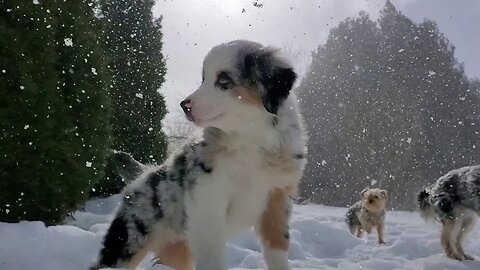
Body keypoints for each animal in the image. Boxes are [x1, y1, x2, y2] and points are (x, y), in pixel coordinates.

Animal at [90, 40, 308, 270]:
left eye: (224, 81)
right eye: (204, 79)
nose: (184, 105)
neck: (251, 142)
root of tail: (143, 174)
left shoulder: (278, 199)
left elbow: (277, 248)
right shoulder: (208, 201)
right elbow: (212, 257)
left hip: (177, 252)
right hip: (128, 240)